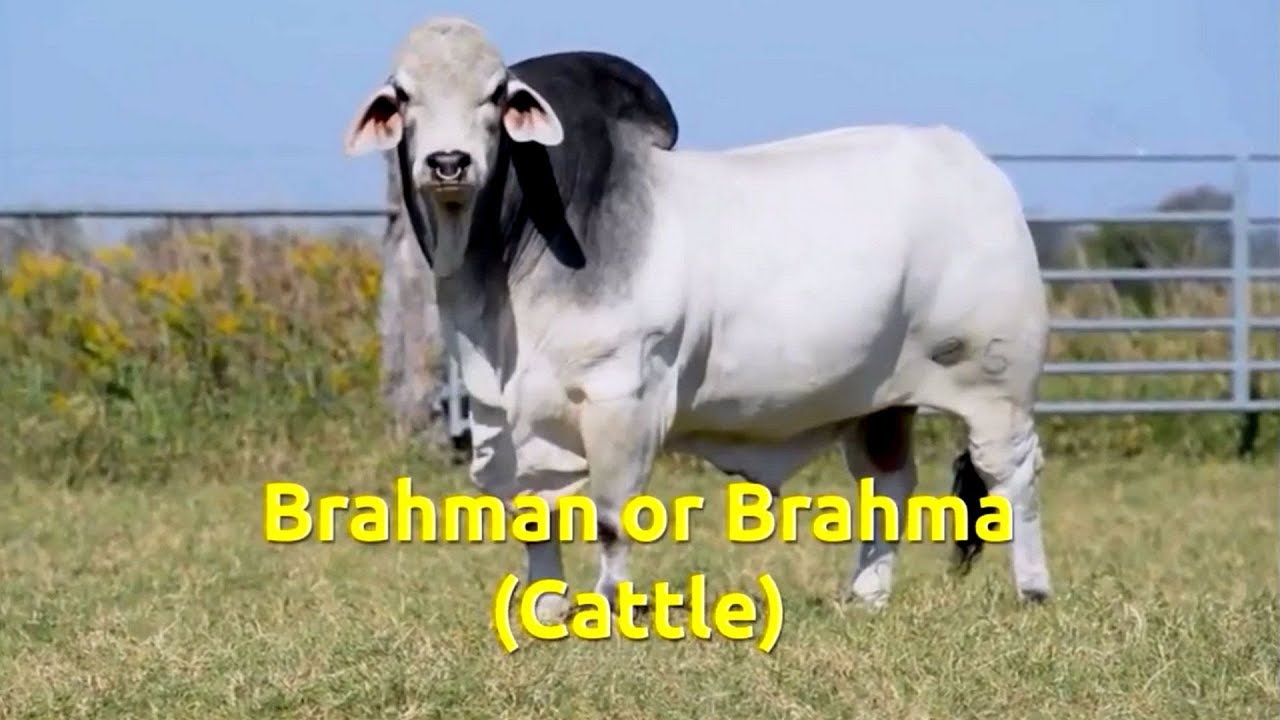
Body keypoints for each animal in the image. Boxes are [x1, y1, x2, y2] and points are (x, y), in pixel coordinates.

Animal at [343, 16, 1052, 623]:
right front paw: (547, 609)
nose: (448, 163)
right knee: (888, 486)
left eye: (495, 95)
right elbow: (536, 515)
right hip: (880, 402)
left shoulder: (623, 398)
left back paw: (1033, 589)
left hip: (995, 386)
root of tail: (974, 163)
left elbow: (611, 516)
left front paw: (608, 606)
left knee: (1011, 475)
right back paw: (865, 596)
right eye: (403, 96)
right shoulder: (501, 415)